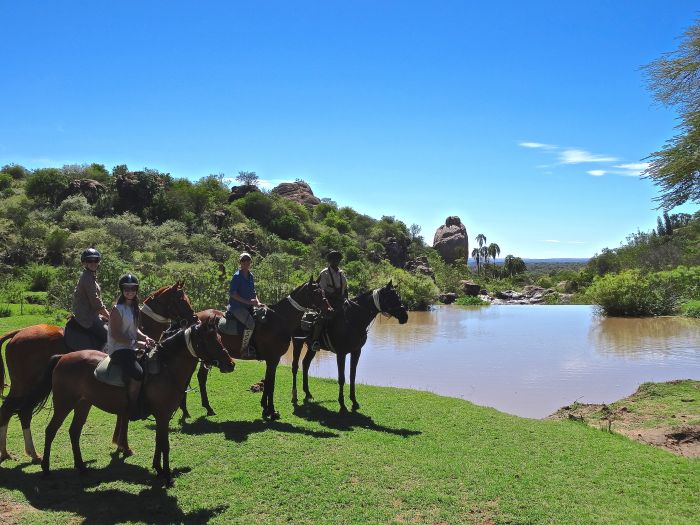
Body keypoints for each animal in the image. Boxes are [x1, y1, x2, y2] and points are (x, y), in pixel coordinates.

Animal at [2, 282, 197, 462]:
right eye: (181, 299)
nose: (195, 319)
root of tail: (18, 333)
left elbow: (122, 412)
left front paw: (119, 443)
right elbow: (123, 413)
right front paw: (122, 445)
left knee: (22, 412)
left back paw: (28, 453)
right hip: (23, 386)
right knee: (10, 410)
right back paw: (13, 452)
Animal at [23, 314, 232, 486]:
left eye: (220, 338)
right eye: (209, 340)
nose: (230, 364)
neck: (165, 369)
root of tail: (62, 358)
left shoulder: (161, 417)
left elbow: (159, 441)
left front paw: (158, 468)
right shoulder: (163, 415)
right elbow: (164, 444)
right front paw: (166, 475)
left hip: (83, 404)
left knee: (74, 432)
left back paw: (81, 467)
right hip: (64, 403)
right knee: (51, 430)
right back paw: (46, 468)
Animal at [185, 280, 330, 420]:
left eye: (323, 291)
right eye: (317, 292)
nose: (329, 309)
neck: (279, 320)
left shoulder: (271, 360)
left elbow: (268, 382)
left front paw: (265, 408)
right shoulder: (273, 359)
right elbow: (271, 384)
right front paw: (271, 411)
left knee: (201, 378)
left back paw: (207, 408)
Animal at [292, 280, 410, 412]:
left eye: (398, 296)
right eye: (391, 297)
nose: (405, 316)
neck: (353, 319)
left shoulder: (356, 351)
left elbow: (352, 376)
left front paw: (354, 401)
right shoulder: (341, 354)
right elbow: (341, 378)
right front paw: (342, 404)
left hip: (312, 348)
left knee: (305, 364)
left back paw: (307, 393)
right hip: (297, 343)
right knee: (295, 367)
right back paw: (294, 396)